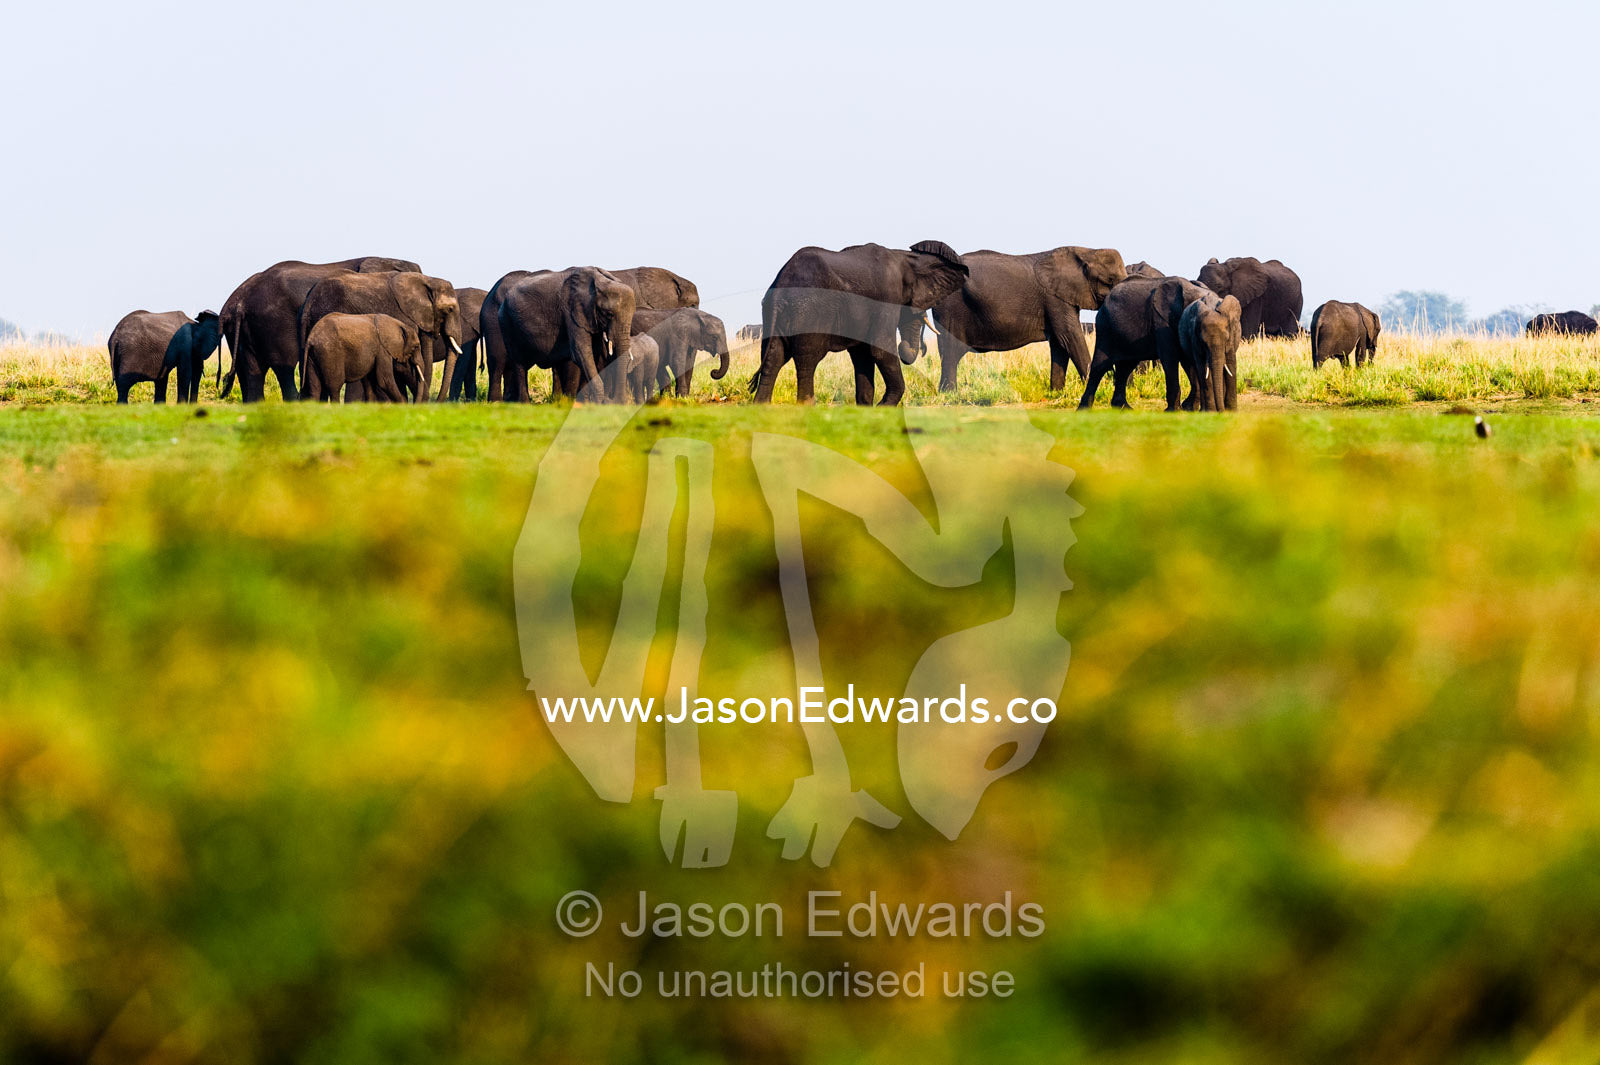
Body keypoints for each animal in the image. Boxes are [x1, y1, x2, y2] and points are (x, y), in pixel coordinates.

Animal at [297, 271, 464, 403]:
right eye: (450, 309)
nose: (436, 402)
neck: (428, 280)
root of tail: (308, 304)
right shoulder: (404, 319)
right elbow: (402, 365)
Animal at [498, 267, 636, 403]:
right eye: (608, 314)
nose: (612, 401)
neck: (602, 280)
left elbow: (593, 353)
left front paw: (586, 404)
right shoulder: (572, 311)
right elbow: (581, 352)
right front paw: (596, 403)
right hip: (507, 322)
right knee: (519, 363)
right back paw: (525, 403)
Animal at [750, 241, 969, 406]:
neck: (905, 257)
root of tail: (781, 286)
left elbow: (862, 355)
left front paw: (866, 408)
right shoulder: (886, 297)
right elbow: (880, 349)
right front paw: (883, 407)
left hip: (772, 313)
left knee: (774, 356)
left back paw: (760, 407)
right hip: (809, 312)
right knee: (807, 358)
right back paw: (807, 406)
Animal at [923, 246, 1126, 392]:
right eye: (1109, 280)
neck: (1087, 252)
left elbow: (1060, 343)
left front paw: (1056, 393)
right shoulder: (1055, 299)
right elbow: (1070, 337)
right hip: (950, 309)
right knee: (951, 352)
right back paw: (950, 394)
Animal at [1079, 276, 1211, 411]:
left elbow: (1188, 361)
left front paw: (1189, 408)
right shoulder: (1161, 321)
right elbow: (1170, 358)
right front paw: (1174, 410)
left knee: (1125, 367)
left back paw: (1123, 408)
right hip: (1105, 328)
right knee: (1100, 367)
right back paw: (1084, 409)